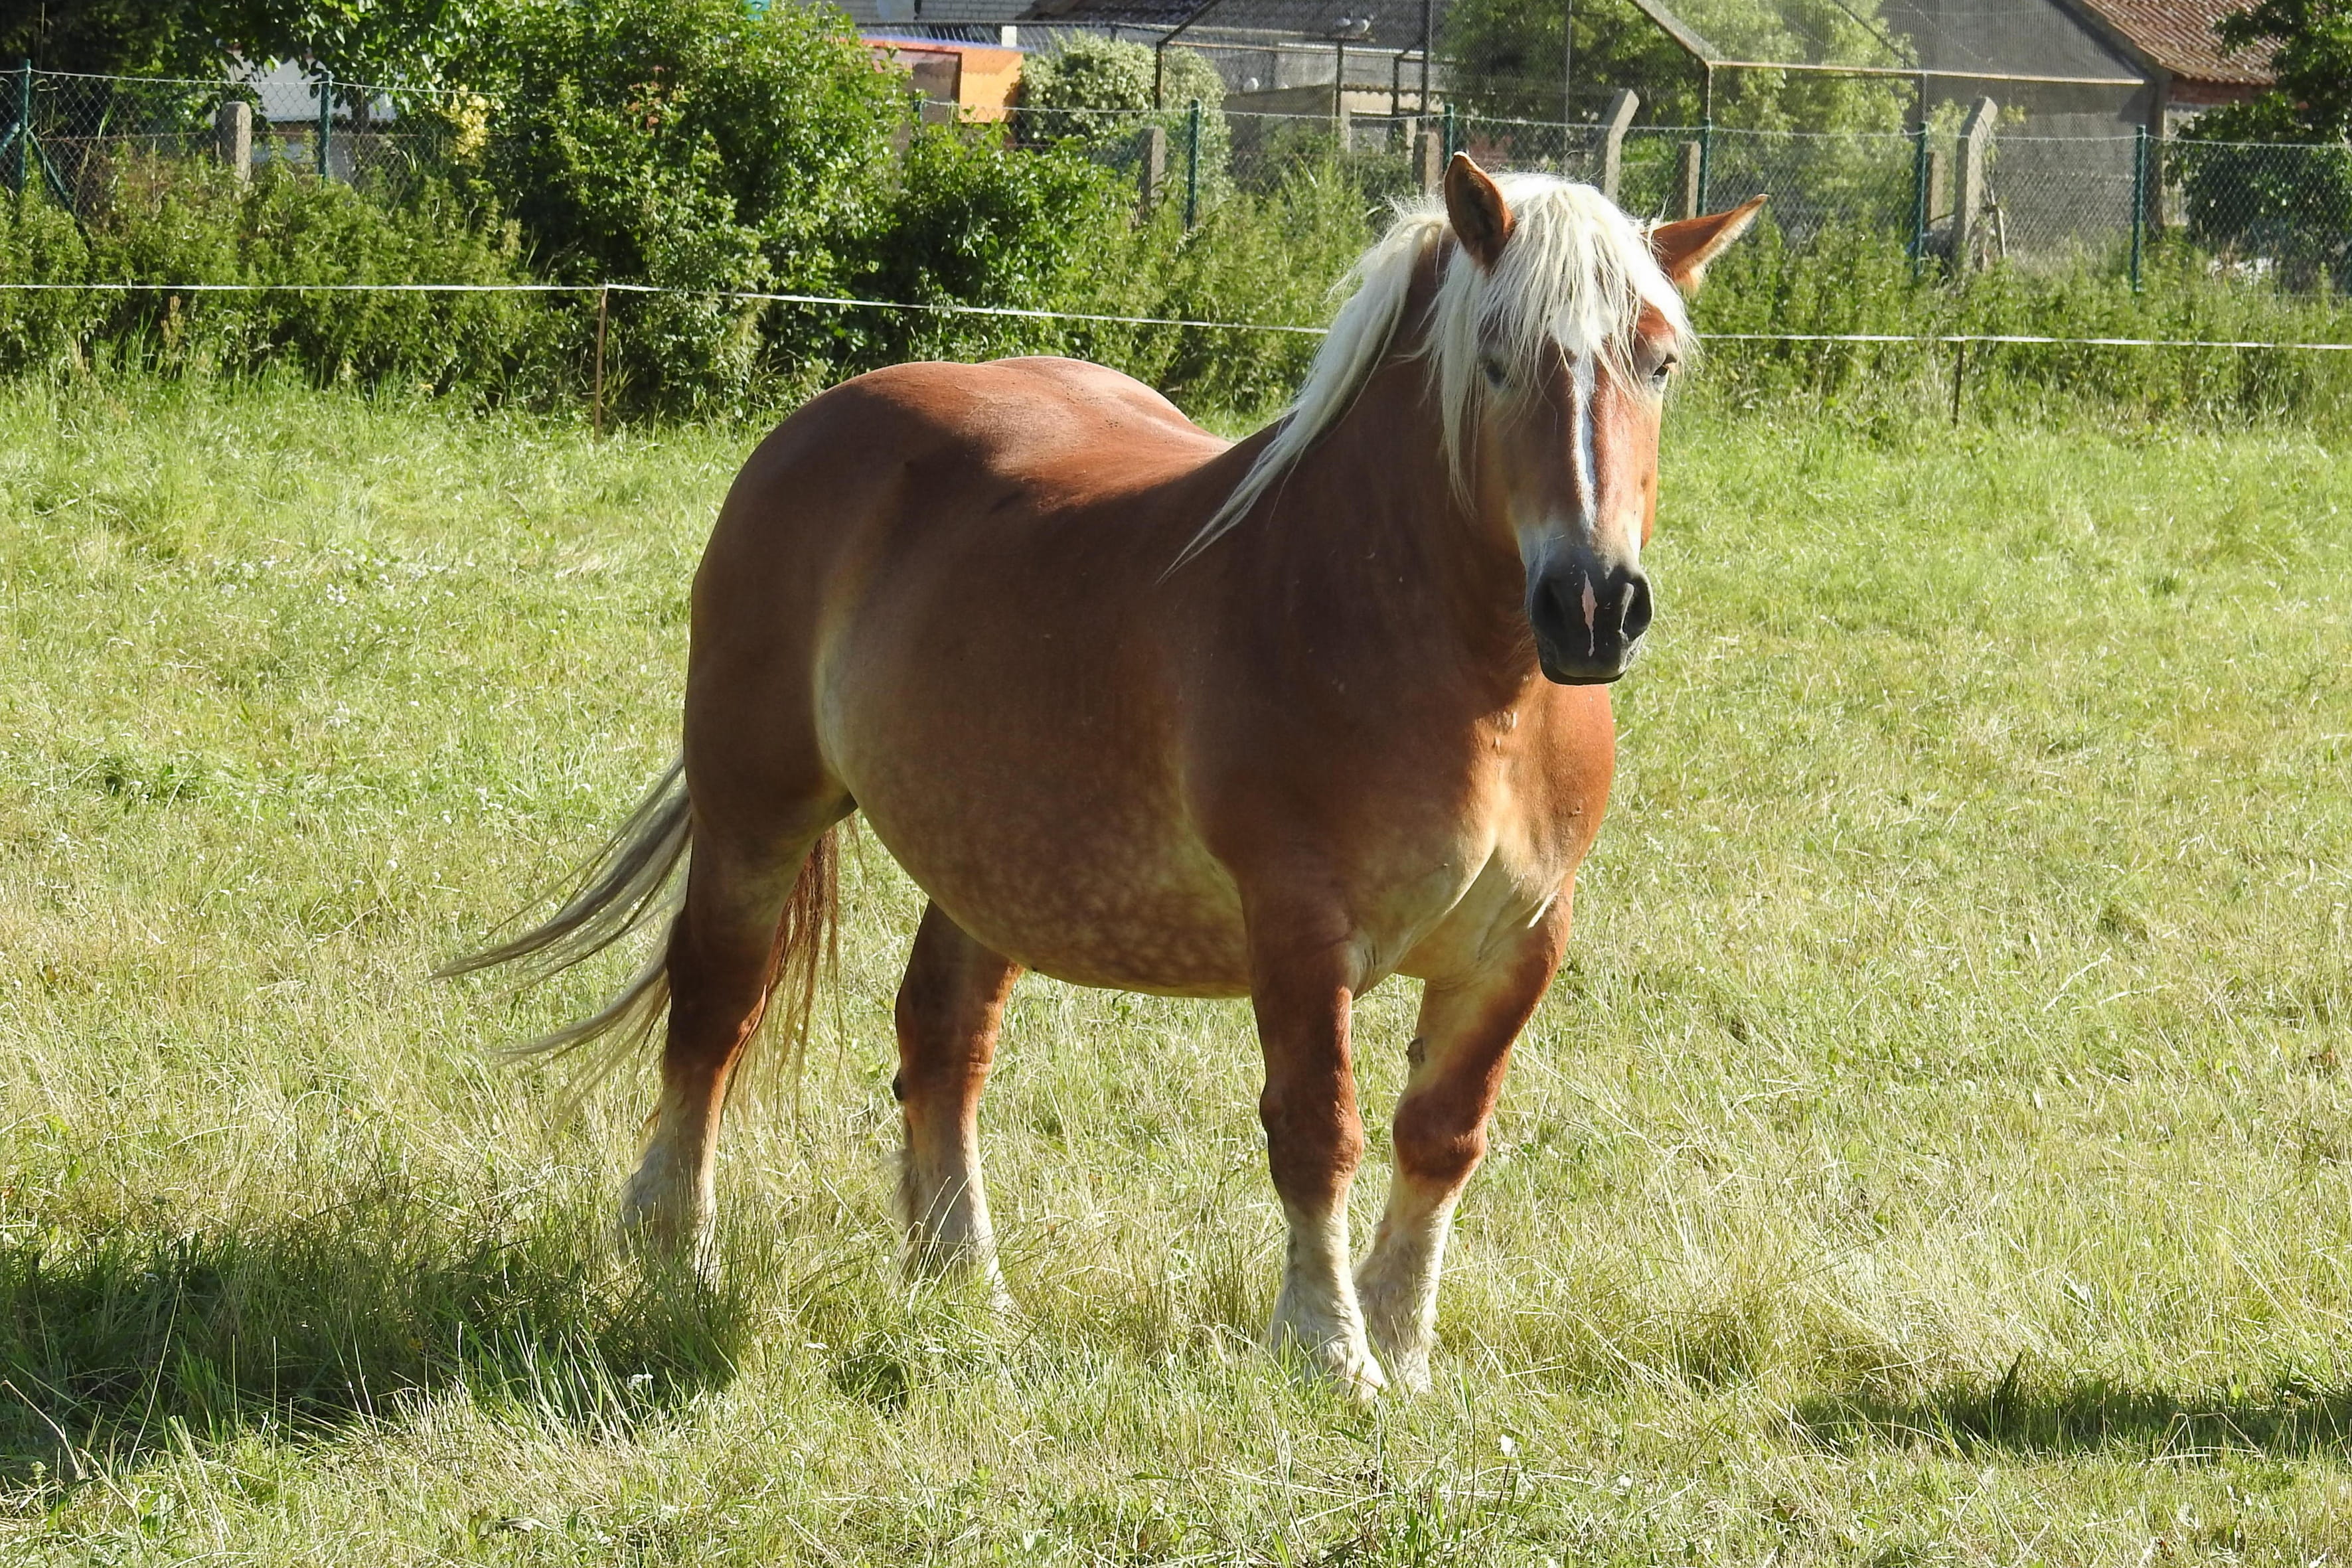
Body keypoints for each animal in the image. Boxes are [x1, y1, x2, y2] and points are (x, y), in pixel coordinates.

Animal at [451, 156, 1761, 1397]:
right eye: (1492, 362)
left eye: (1655, 363)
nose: (1592, 606)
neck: (1455, 664)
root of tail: (820, 420)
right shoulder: (1299, 929)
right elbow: (1316, 1132)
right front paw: (1328, 1350)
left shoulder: (1519, 940)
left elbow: (1439, 1138)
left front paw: (1405, 1348)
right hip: (756, 809)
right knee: (713, 1009)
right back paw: (674, 1248)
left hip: (992, 857)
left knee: (941, 1040)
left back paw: (963, 1283)